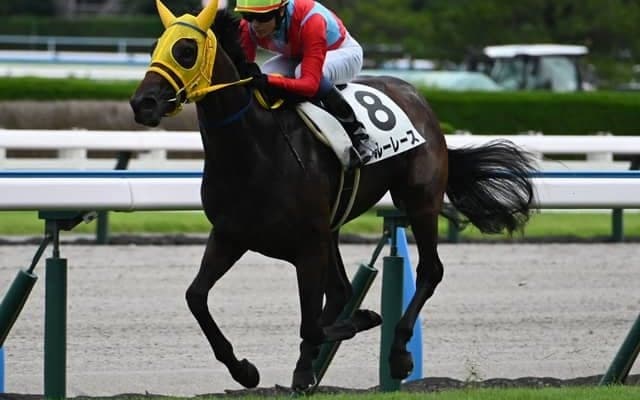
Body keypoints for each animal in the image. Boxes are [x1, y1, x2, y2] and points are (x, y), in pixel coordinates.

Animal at [130, 0, 535, 392]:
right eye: (155, 47)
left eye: (186, 50)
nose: (142, 103)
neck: (255, 148)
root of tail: (418, 97)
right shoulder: (232, 234)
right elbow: (196, 297)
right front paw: (244, 370)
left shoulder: (308, 245)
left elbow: (311, 323)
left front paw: (362, 321)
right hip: (334, 227)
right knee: (341, 290)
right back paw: (308, 367)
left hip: (420, 199)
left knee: (428, 271)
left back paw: (397, 353)